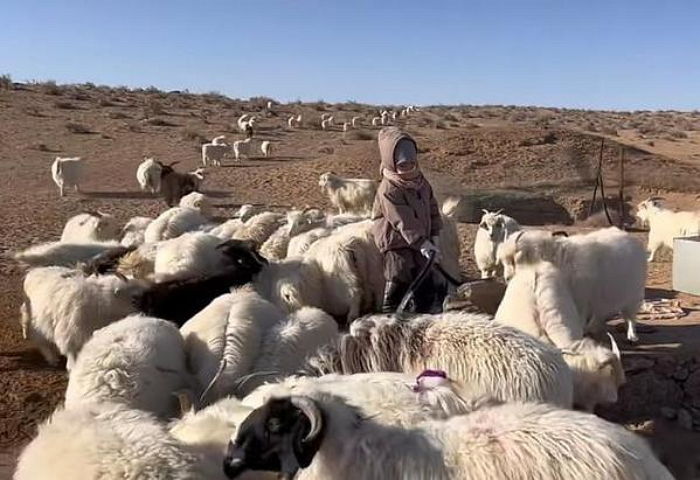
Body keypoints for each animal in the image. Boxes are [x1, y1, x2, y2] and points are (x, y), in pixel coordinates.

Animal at [498, 228, 644, 344]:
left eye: (513, 260)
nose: (507, 279)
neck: (556, 257)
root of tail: (631, 238)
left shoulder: (581, 298)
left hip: (633, 294)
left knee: (630, 316)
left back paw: (632, 336)